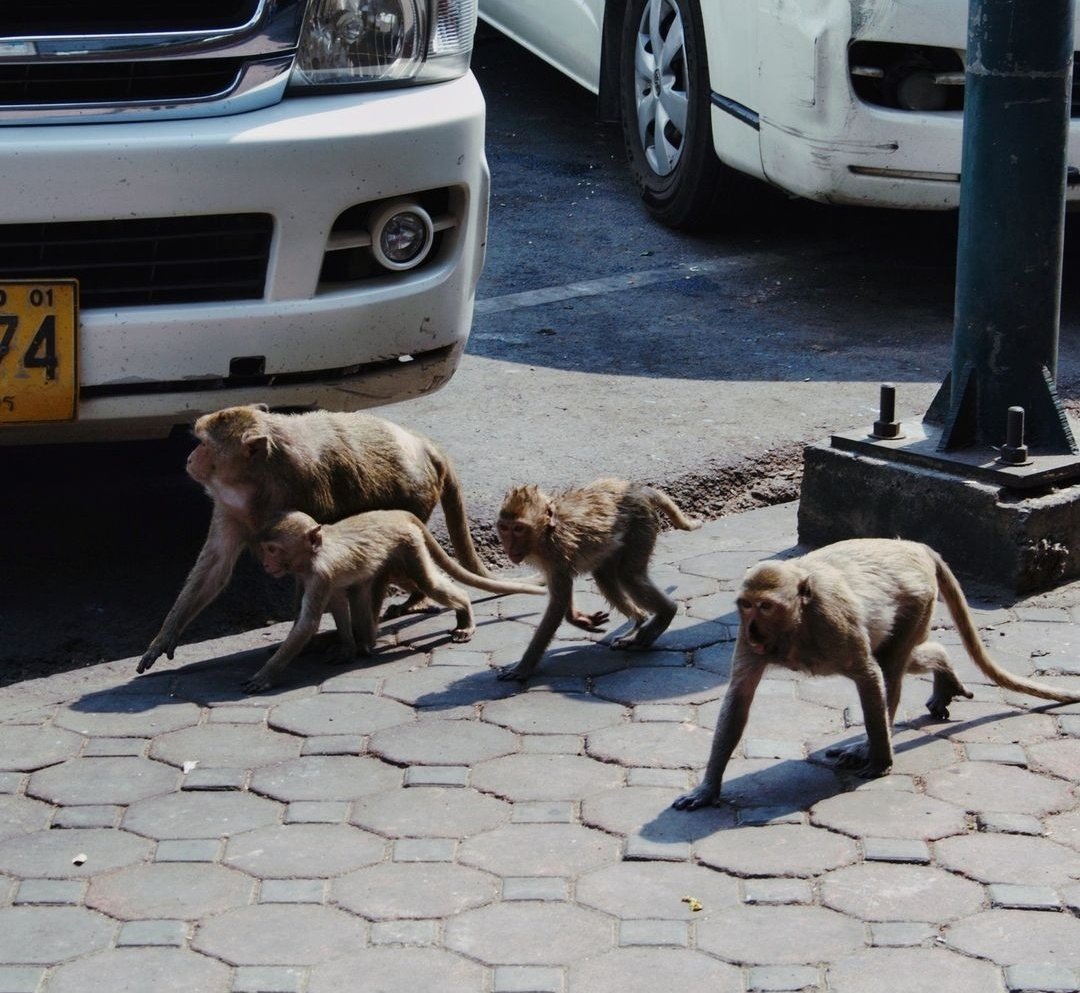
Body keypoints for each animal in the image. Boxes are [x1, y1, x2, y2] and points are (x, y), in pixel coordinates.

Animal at [137, 404, 492, 674]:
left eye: (204, 443)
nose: (189, 458)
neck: (256, 482)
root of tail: (423, 444)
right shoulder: (229, 507)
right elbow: (215, 568)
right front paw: (164, 637)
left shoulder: (303, 491)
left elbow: (310, 568)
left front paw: (304, 642)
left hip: (415, 499)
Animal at [247, 507, 544, 695]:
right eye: (264, 550)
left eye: (272, 549)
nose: (265, 564)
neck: (313, 554)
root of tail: (396, 513)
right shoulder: (306, 575)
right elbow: (334, 603)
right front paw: (345, 647)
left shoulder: (320, 573)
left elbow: (308, 623)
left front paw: (265, 675)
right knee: (364, 589)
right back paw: (362, 642)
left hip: (408, 545)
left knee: (428, 583)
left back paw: (464, 616)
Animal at [494, 479, 699, 682]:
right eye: (504, 528)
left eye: (518, 529)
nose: (509, 546)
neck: (546, 533)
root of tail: (638, 491)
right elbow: (563, 595)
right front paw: (578, 619)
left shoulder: (556, 553)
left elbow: (558, 603)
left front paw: (523, 667)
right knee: (605, 577)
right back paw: (639, 620)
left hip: (640, 527)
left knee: (629, 576)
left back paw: (666, 613)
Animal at [669, 540, 1080, 812]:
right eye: (746, 605)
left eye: (766, 606)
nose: (754, 629)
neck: (797, 622)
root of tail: (915, 546)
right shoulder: (746, 638)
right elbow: (739, 697)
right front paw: (707, 789)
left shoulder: (833, 621)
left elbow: (868, 676)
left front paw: (880, 761)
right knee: (904, 659)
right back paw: (943, 672)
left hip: (918, 600)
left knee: (891, 665)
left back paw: (877, 739)